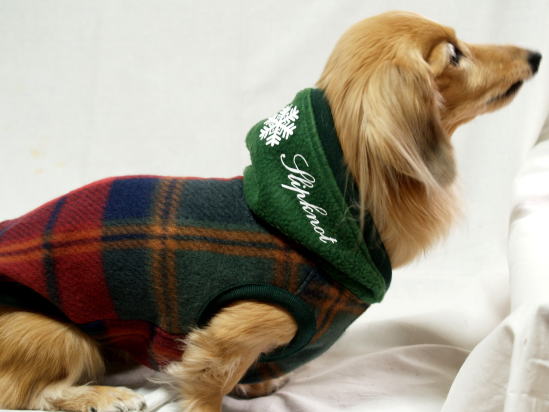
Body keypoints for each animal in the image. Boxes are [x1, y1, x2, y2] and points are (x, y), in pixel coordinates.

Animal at [0, 11, 541, 412]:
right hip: (59, 334)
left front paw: (256, 383)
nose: (535, 55)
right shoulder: (227, 334)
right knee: (28, 393)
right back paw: (103, 394)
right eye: (455, 54)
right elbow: (208, 382)